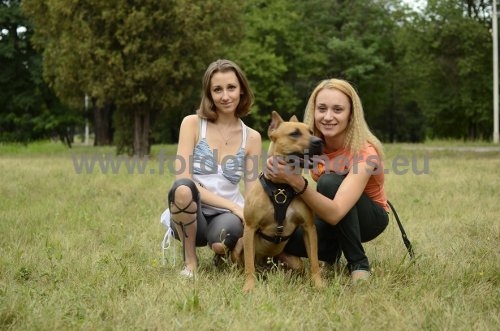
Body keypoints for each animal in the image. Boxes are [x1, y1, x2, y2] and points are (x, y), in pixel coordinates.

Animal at [239, 111, 324, 294]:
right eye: (294, 133)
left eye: (311, 131)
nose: (319, 141)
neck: (281, 187)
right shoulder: (250, 228)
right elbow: (249, 265)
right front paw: (249, 286)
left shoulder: (309, 228)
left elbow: (314, 260)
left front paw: (318, 284)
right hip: (240, 244)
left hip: (294, 262)